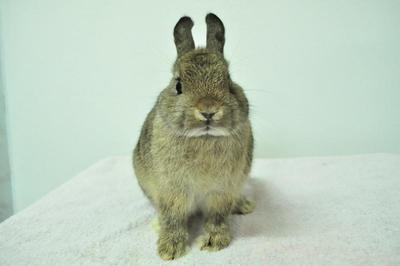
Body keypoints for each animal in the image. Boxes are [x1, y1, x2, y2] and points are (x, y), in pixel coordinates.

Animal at [133, 13, 255, 260]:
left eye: (229, 81)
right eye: (178, 85)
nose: (208, 110)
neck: (204, 138)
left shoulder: (222, 192)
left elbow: (217, 217)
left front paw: (214, 242)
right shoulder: (172, 192)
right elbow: (173, 219)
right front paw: (170, 250)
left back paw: (245, 205)